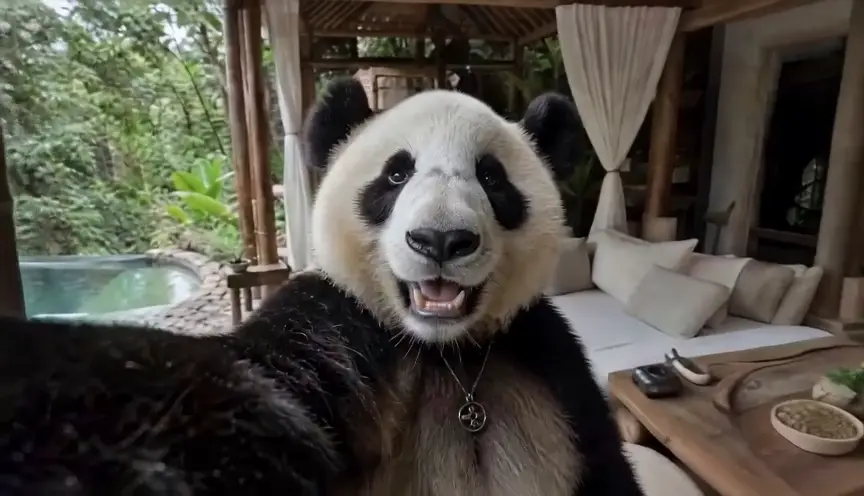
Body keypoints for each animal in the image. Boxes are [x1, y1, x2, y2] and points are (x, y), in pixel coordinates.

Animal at [0, 78, 643, 496]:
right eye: (396, 173)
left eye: (491, 177)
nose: (440, 240)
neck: (448, 355)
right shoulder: (341, 329)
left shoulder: (549, 366)